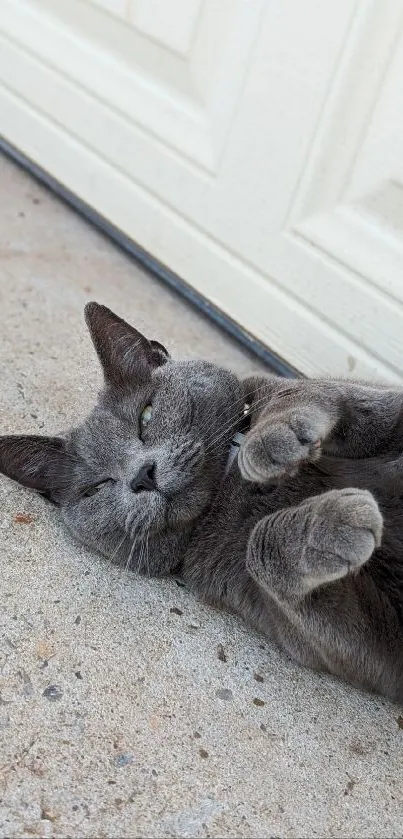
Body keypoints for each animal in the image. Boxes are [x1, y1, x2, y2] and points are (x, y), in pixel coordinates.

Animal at [0, 306, 403, 704]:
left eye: (146, 415)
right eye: (96, 489)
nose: (142, 476)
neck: (225, 487)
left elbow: (313, 391)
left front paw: (272, 442)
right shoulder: (356, 645)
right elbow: (259, 549)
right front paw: (337, 527)